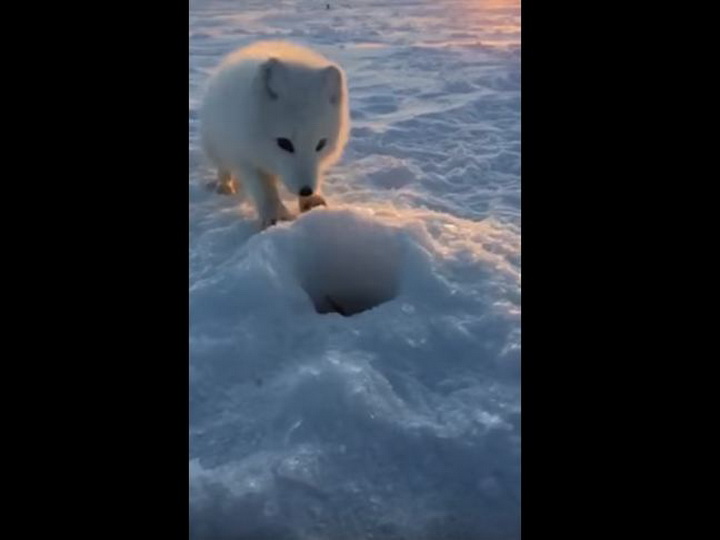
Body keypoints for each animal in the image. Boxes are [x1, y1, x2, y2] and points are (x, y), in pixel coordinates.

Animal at [200, 41, 352, 228]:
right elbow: (265, 192)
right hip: (217, 146)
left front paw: (313, 202)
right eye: (284, 143)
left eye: (321, 144)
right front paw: (275, 218)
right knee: (223, 169)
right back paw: (225, 188)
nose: (306, 190)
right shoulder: (248, 160)